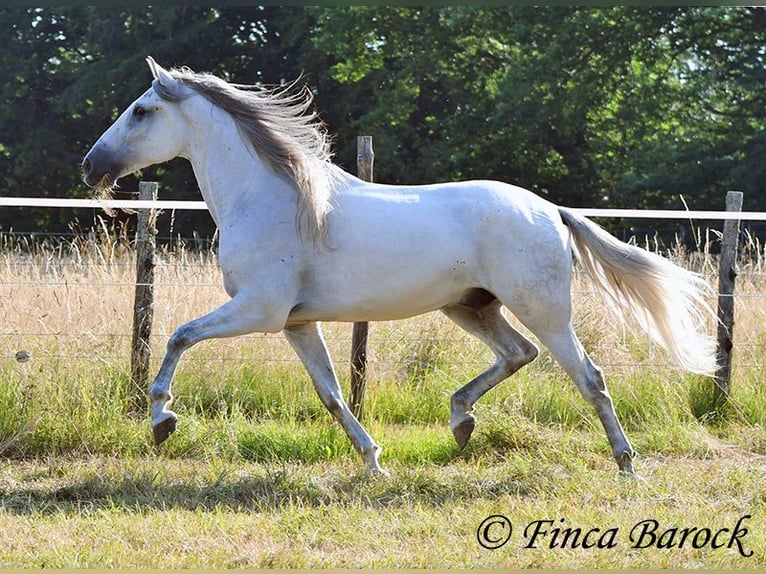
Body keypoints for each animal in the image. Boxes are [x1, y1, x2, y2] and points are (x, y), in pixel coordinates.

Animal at [82, 57, 717, 476]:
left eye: (141, 110)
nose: (92, 166)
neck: (273, 198)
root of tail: (550, 211)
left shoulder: (258, 311)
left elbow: (178, 336)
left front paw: (162, 420)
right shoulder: (296, 323)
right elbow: (333, 395)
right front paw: (373, 462)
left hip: (544, 310)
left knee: (589, 377)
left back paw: (625, 463)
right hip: (470, 307)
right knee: (519, 354)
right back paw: (461, 423)